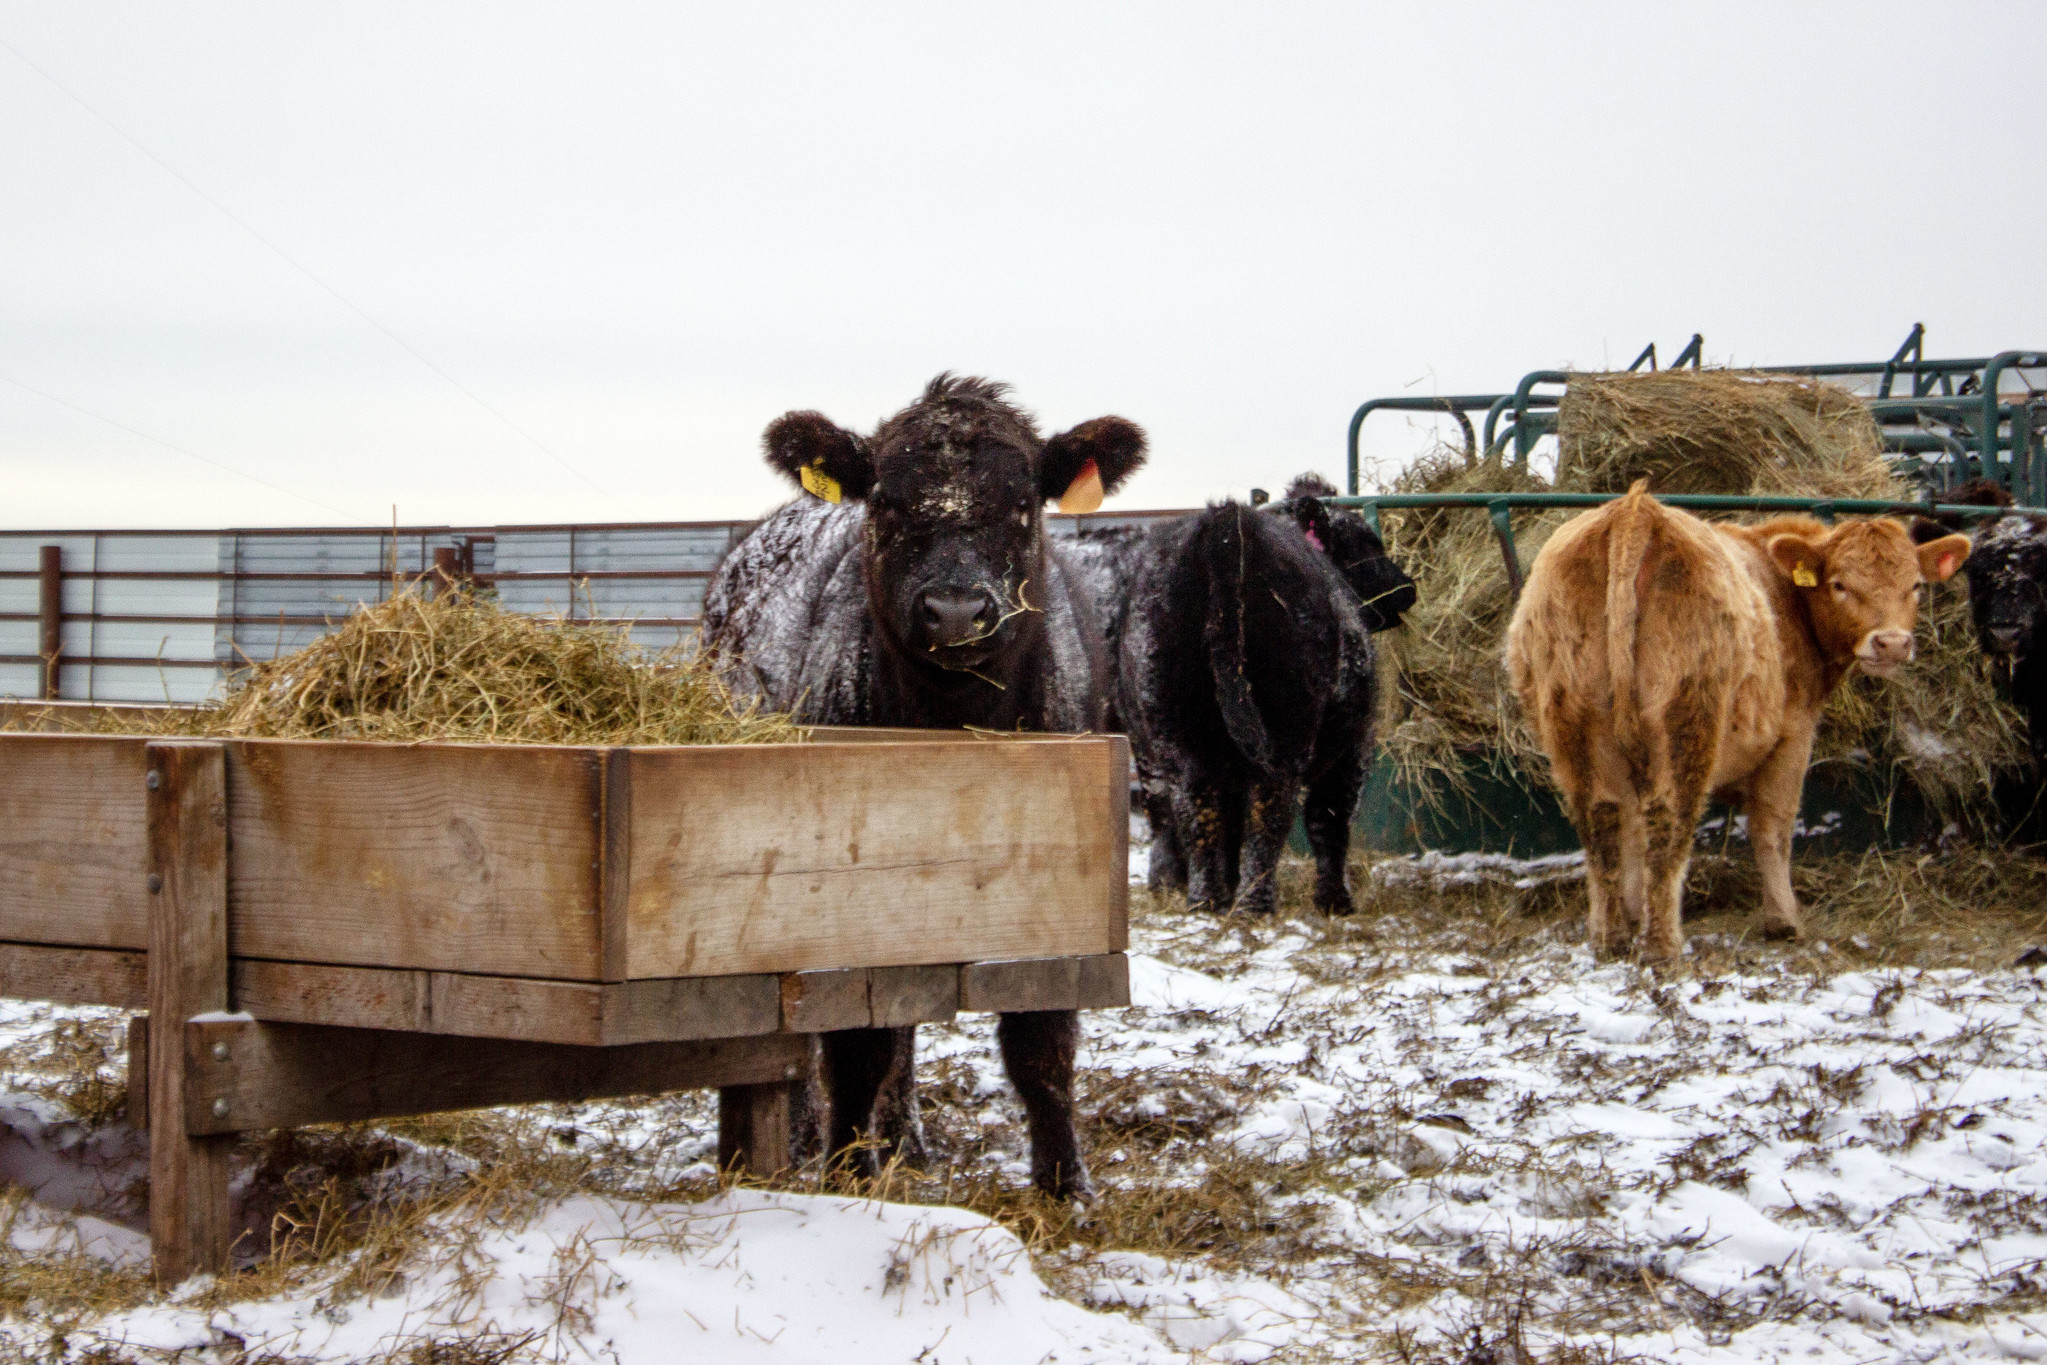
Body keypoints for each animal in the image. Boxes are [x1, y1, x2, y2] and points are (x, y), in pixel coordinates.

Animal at [704, 370, 1154, 1195]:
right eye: (885, 500)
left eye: (1023, 502)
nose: (954, 611)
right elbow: (855, 1045)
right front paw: (847, 1170)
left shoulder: (1060, 891)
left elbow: (1041, 1041)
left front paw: (1065, 1185)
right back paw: (816, 1134)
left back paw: (907, 1138)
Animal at [1113, 478, 1416, 916]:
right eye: (1366, 542)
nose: (1408, 588)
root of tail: (1225, 522)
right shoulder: (1354, 745)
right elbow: (1329, 818)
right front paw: (1335, 901)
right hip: (1286, 727)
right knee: (1270, 807)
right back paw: (1255, 903)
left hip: (1169, 729)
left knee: (1191, 803)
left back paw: (1204, 897)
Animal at [1506, 480, 1965, 961]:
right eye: (1839, 583)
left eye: (1915, 585)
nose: (1892, 643)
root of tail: (1636, 509)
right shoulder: (1793, 734)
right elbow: (1772, 826)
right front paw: (1784, 920)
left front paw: (1627, 916)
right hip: (1688, 718)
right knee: (1668, 820)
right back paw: (1664, 946)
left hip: (1572, 719)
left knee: (1601, 818)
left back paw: (1609, 938)